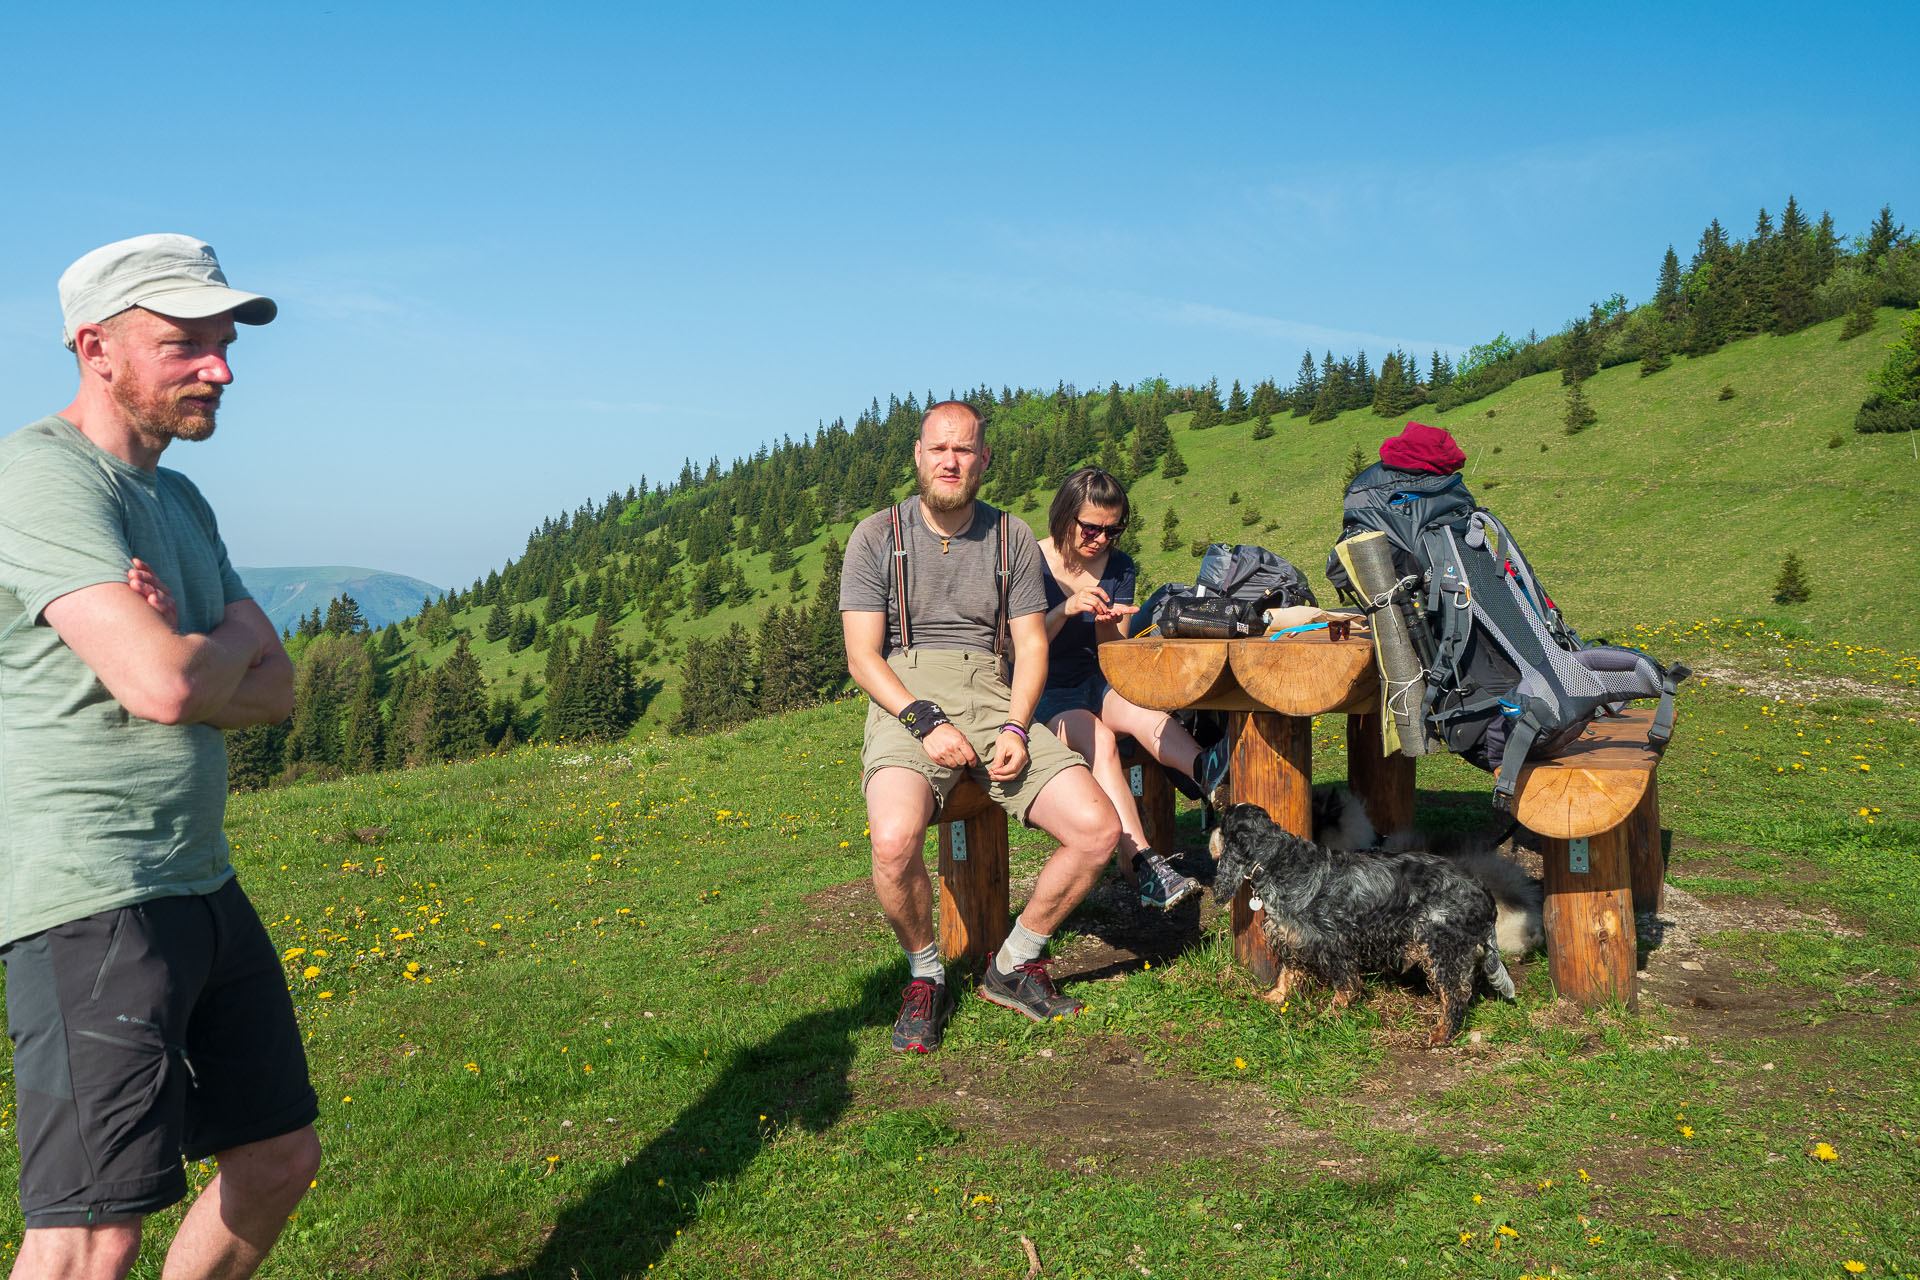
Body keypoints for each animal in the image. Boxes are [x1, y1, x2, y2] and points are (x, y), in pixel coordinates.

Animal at [1213, 805, 1512, 1043]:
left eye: (1222, 821)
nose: (1211, 833)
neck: (1278, 860)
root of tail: (1483, 892)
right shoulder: (1293, 936)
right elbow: (1288, 972)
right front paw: (1275, 997)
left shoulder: (1335, 941)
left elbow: (1344, 984)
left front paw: (1333, 1012)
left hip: (1441, 945)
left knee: (1456, 993)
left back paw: (1442, 1034)